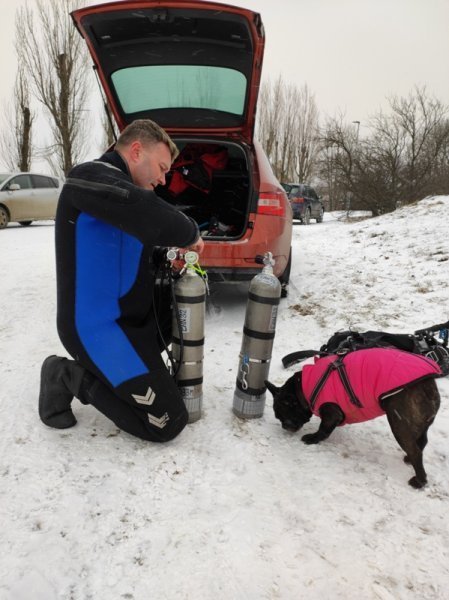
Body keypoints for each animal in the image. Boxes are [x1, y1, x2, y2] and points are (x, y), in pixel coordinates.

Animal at [266, 348, 442, 488]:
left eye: (284, 416)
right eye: (278, 417)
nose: (284, 426)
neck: (301, 387)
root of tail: (427, 385)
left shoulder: (331, 412)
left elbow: (323, 429)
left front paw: (312, 439)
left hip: (398, 422)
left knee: (415, 451)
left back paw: (419, 481)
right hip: (418, 423)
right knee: (421, 441)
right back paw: (409, 460)